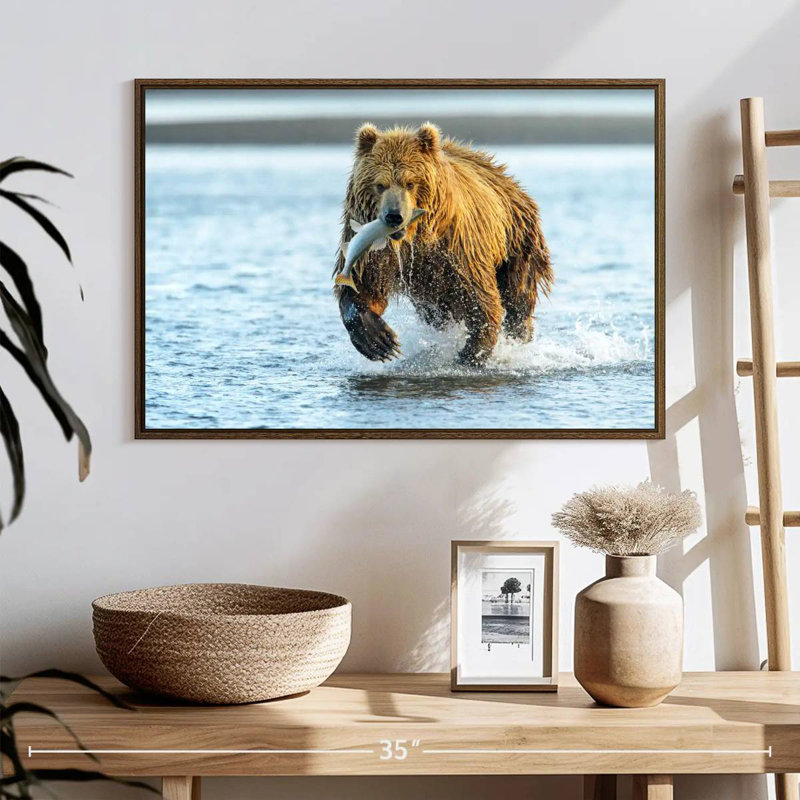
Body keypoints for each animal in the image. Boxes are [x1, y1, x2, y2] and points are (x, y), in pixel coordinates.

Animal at [333, 122, 553, 365]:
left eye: (410, 182)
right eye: (380, 184)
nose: (394, 216)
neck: (414, 238)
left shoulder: (459, 248)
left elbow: (480, 297)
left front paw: (471, 353)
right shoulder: (374, 252)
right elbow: (365, 287)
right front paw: (379, 340)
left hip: (517, 238)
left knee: (518, 294)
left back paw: (520, 332)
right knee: (435, 312)